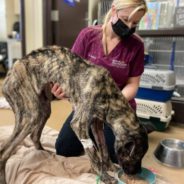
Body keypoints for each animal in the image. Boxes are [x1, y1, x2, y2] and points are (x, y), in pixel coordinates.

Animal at [0, 46, 148, 184]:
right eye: (136, 156)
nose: (136, 174)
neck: (110, 95)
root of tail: (9, 74)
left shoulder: (97, 125)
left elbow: (104, 148)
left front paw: (110, 166)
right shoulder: (79, 125)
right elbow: (94, 154)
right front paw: (104, 176)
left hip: (43, 109)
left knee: (34, 136)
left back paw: (45, 154)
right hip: (32, 116)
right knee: (4, 152)